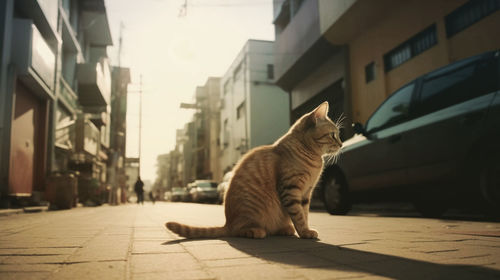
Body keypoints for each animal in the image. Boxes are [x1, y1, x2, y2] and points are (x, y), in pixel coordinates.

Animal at [166, 101, 342, 240]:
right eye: (333, 135)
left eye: (338, 135)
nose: (341, 144)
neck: (312, 157)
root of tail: (227, 223)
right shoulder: (291, 189)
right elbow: (298, 215)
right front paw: (305, 232)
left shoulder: (306, 193)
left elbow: (304, 213)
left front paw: (306, 229)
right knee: (238, 230)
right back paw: (256, 231)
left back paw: (285, 229)